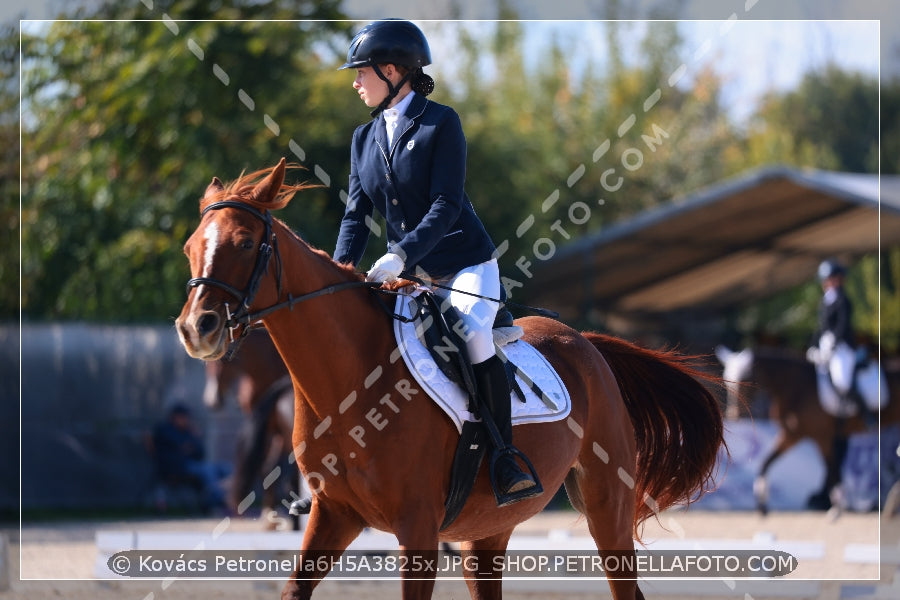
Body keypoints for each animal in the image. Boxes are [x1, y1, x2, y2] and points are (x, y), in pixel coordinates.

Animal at [712, 344, 896, 512]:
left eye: (745, 379)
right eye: (727, 380)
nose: (734, 415)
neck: (797, 388)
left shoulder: (822, 437)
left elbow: (832, 467)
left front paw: (837, 508)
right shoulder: (792, 434)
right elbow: (766, 463)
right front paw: (762, 505)